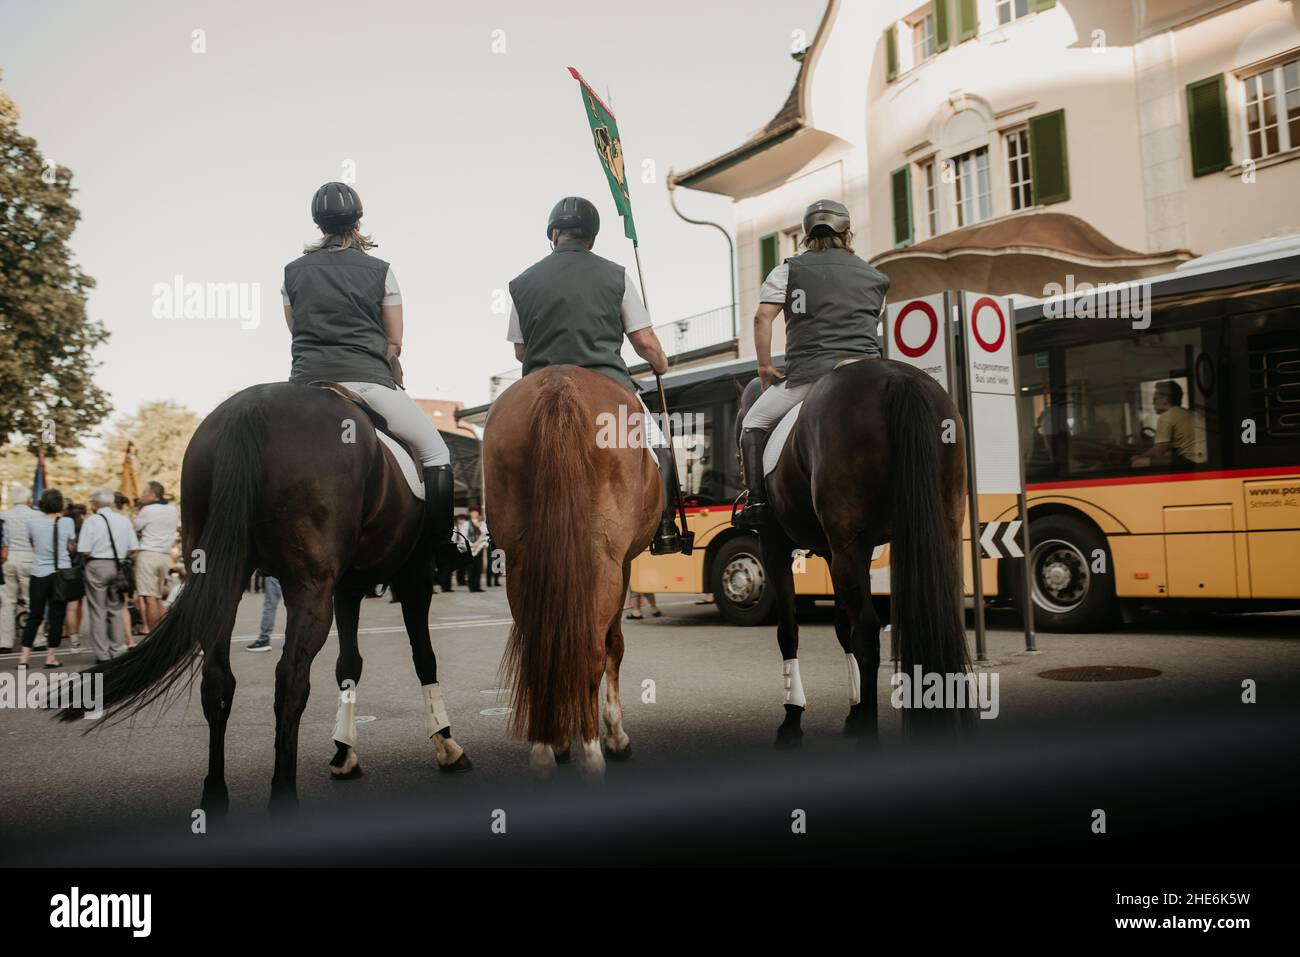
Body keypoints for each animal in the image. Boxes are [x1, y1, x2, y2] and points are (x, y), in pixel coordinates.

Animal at [58, 382, 473, 816]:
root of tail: (254, 405)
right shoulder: (412, 575)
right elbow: (423, 657)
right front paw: (446, 743)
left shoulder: (347, 587)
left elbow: (349, 665)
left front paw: (344, 752)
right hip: (310, 588)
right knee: (290, 680)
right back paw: (282, 796)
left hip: (224, 579)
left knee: (218, 681)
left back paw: (215, 794)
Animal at [480, 366, 655, 780]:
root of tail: (559, 387)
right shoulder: (623, 564)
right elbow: (614, 644)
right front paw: (616, 735)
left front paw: (561, 739)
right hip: (604, 560)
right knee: (592, 649)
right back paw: (592, 750)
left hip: (522, 562)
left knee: (541, 647)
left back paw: (546, 746)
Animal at [738, 358, 972, 748]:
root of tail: (896, 377)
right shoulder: (834, 551)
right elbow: (839, 628)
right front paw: (854, 709)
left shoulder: (775, 547)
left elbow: (789, 631)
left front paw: (793, 717)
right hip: (942, 529)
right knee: (946, 616)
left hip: (849, 545)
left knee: (866, 631)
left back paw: (869, 737)